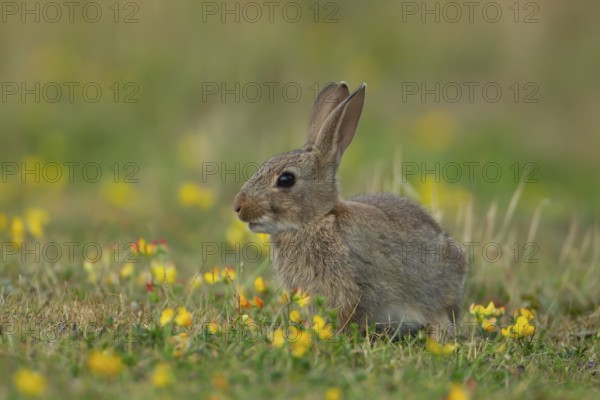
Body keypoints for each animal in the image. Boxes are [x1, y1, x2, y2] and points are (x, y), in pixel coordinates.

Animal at [232, 82, 466, 338]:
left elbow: (347, 314)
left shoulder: (351, 287)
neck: (318, 220)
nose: (238, 207)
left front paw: (329, 334)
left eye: (286, 179)